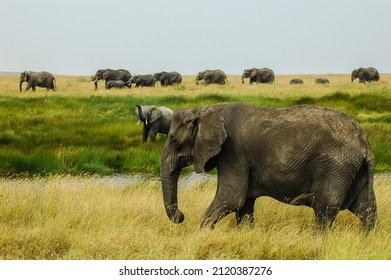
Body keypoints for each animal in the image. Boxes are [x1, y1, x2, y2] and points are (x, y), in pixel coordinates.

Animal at [161, 103, 378, 232]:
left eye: (173, 140)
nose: (181, 216)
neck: (205, 110)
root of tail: (365, 144)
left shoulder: (233, 152)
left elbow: (232, 198)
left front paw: (202, 234)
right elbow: (244, 205)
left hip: (335, 167)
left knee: (324, 210)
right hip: (352, 170)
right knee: (365, 209)